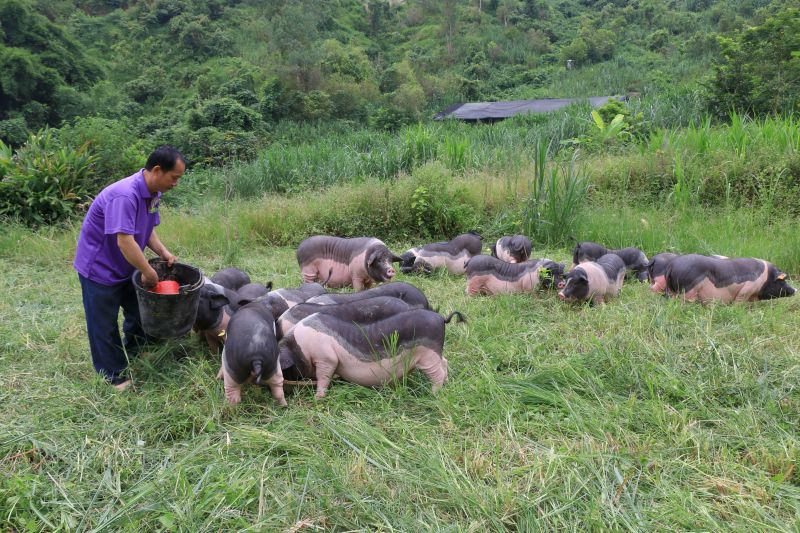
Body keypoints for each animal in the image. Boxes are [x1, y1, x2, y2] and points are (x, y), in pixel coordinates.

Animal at [276, 308, 462, 394]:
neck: (299, 346)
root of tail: (441, 318)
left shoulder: (326, 357)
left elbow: (324, 376)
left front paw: (318, 398)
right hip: (435, 354)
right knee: (444, 363)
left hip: (428, 356)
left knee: (437, 374)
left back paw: (434, 393)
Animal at [664, 255, 792, 304]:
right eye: (782, 280)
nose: (794, 290)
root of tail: (671, 265)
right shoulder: (749, 287)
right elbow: (740, 299)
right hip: (688, 290)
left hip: (672, 291)